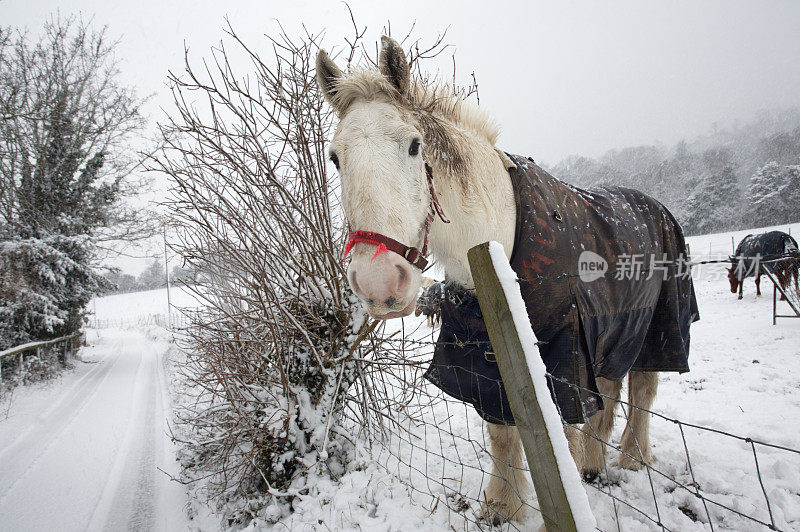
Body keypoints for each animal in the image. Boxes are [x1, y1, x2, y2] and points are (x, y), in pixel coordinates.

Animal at [316, 37, 660, 524]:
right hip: (615, 333)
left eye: (414, 146)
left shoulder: (564, 363)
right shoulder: (488, 360)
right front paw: (501, 505)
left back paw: (632, 459)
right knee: (612, 393)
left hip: (656, 330)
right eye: (335, 158)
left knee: (643, 393)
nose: (379, 283)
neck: (497, 245)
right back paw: (597, 465)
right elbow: (501, 433)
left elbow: (565, 436)